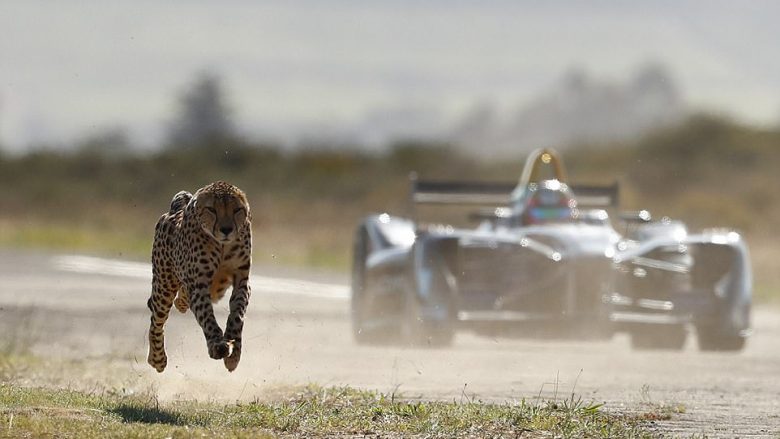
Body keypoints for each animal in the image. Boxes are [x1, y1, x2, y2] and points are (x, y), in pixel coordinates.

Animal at [148, 180, 251, 372]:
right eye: (212, 209)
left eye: (237, 210)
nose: (226, 229)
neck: (222, 246)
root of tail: (173, 211)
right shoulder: (198, 284)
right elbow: (206, 315)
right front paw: (217, 344)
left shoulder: (242, 280)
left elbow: (237, 314)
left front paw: (234, 351)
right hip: (164, 286)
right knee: (156, 320)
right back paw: (157, 358)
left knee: (183, 298)